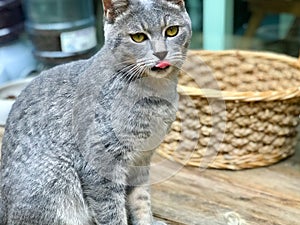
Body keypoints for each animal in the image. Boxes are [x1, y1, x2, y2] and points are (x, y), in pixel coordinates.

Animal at [0, 0, 190, 224]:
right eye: (138, 37)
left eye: (172, 31)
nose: (161, 53)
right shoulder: (101, 166)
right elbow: (112, 213)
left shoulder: (141, 161)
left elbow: (142, 202)